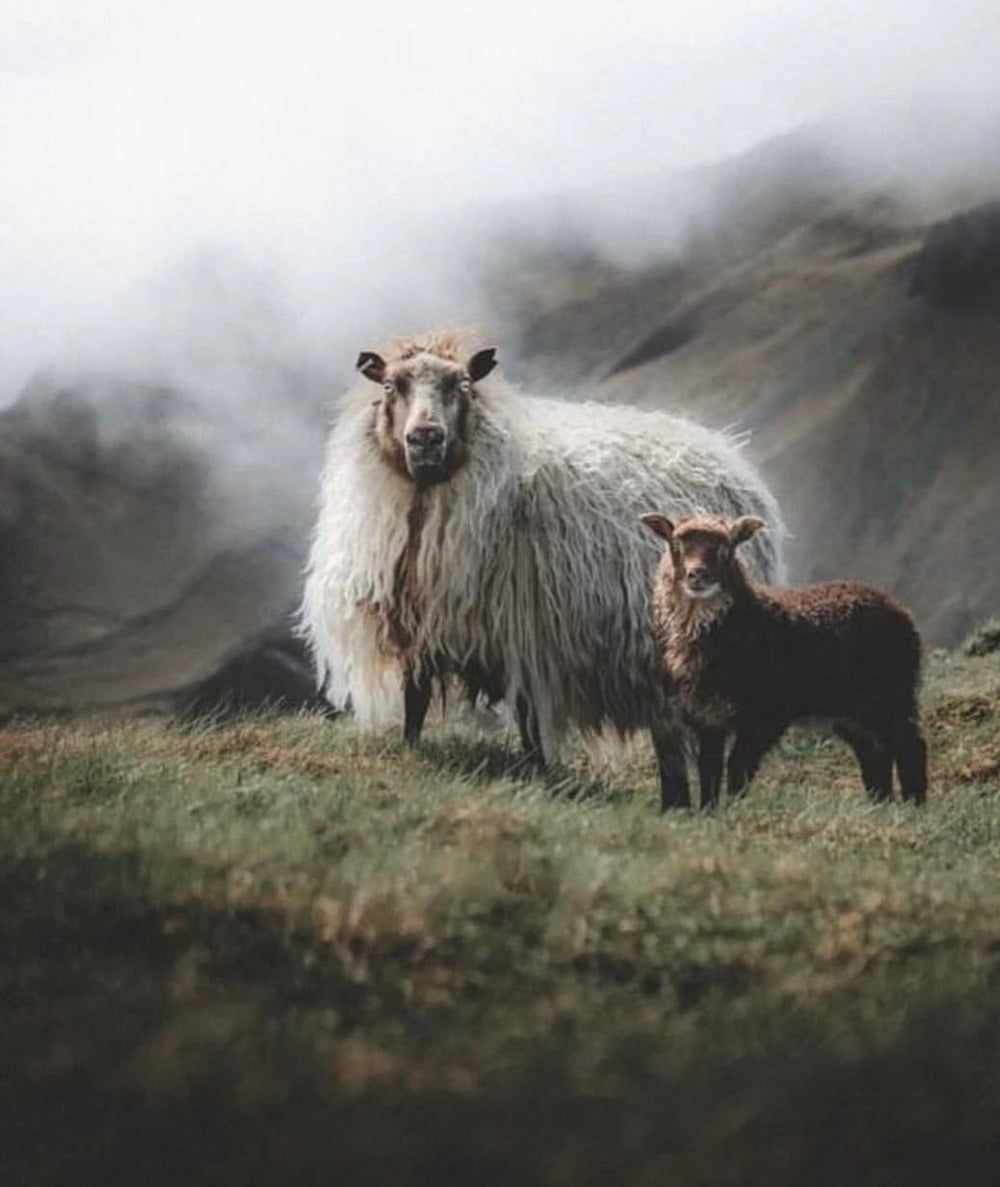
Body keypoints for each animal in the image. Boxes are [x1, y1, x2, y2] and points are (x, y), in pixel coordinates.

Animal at [300, 329, 786, 809]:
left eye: (463, 386)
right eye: (390, 386)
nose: (425, 438)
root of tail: (727, 455)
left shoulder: (529, 636)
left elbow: (530, 721)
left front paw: (539, 772)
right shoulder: (425, 626)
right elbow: (415, 700)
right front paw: (411, 751)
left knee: (674, 744)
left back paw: (680, 806)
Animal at [641, 511, 928, 807]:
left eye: (725, 549)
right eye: (676, 546)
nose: (697, 574)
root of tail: (899, 610)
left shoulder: (767, 714)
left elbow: (738, 765)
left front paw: (735, 807)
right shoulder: (707, 716)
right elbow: (709, 769)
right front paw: (709, 810)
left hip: (891, 694)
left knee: (910, 744)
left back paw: (913, 803)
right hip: (854, 709)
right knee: (874, 751)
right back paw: (880, 803)